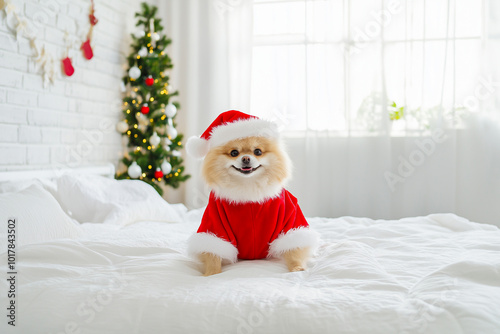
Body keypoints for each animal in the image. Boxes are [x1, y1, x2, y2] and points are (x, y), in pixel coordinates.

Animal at [186, 111, 318, 276]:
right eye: (234, 152)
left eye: (258, 151)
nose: (246, 158)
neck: (249, 191)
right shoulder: (214, 222)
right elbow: (212, 252)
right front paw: (212, 273)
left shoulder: (290, 217)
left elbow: (293, 249)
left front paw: (297, 268)